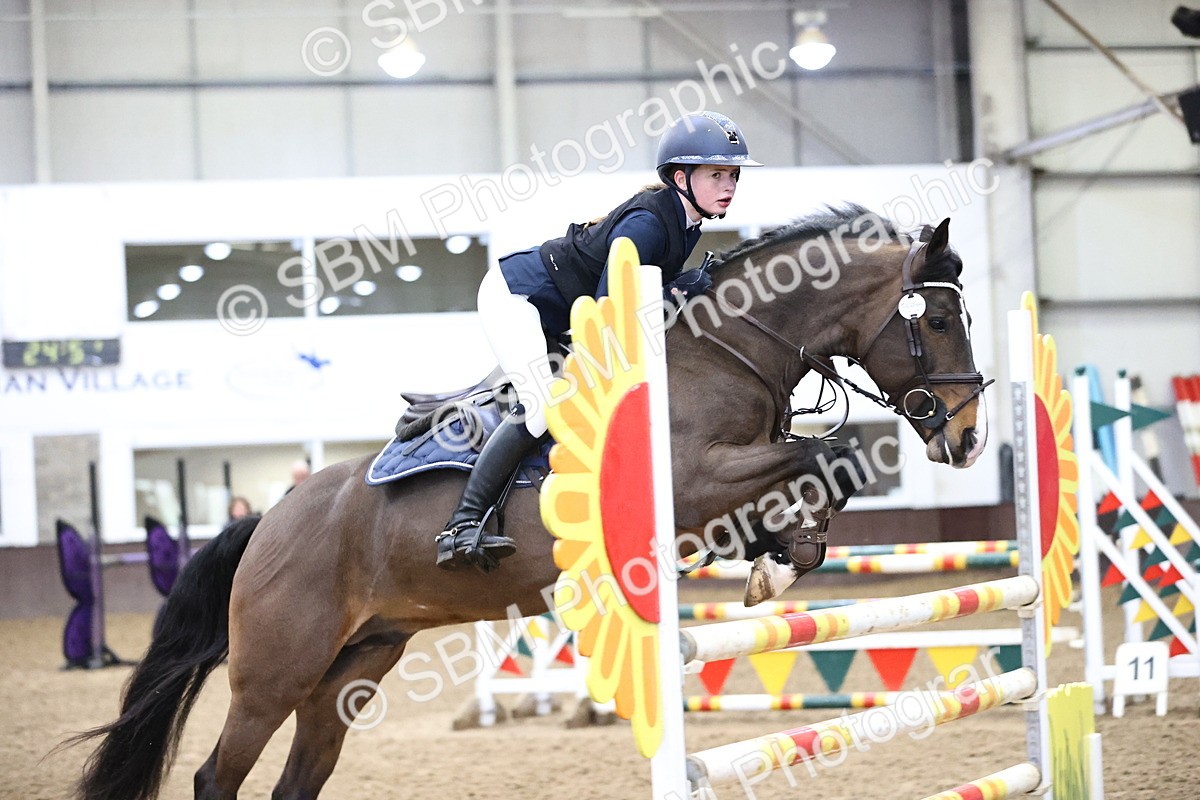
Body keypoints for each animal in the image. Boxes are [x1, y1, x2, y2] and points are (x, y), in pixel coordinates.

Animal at [67, 204, 990, 800]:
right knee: (216, 775)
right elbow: (829, 453)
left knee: (299, 779)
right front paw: (779, 561)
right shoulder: (692, 483)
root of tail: (267, 522)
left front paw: (782, 561)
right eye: (940, 322)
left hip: (352, 668)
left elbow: (818, 468)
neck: (726, 351)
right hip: (273, 673)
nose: (970, 437)